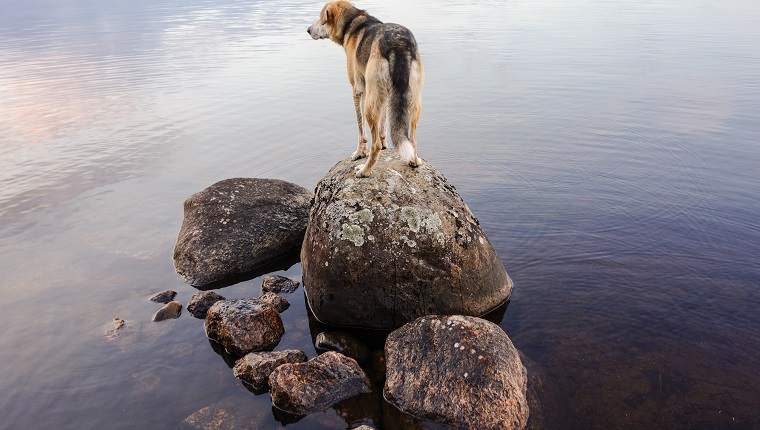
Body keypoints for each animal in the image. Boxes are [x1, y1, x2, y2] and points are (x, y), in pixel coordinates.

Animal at [308, 1, 428, 176]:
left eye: (321, 19)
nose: (308, 30)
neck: (352, 22)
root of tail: (398, 44)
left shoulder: (358, 90)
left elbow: (361, 131)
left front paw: (359, 153)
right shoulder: (384, 95)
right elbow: (383, 125)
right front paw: (385, 145)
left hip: (370, 105)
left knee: (374, 144)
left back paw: (364, 170)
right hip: (412, 102)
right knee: (412, 140)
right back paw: (414, 160)